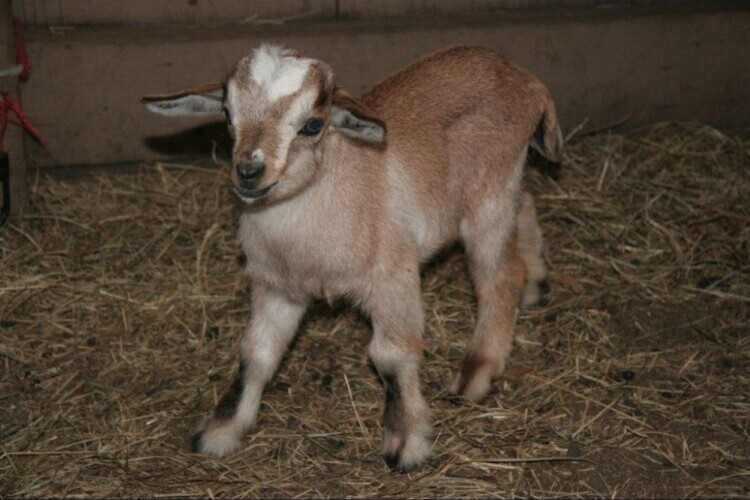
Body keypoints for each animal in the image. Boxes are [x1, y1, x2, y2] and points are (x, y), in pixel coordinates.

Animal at [143, 44, 562, 471]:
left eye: (313, 125)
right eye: (227, 113)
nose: (249, 171)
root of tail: (524, 77)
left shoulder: (392, 277)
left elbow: (393, 356)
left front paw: (406, 442)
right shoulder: (278, 287)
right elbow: (257, 352)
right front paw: (221, 430)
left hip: (487, 193)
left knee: (500, 274)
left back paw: (476, 372)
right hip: (505, 184)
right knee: (526, 205)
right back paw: (536, 283)